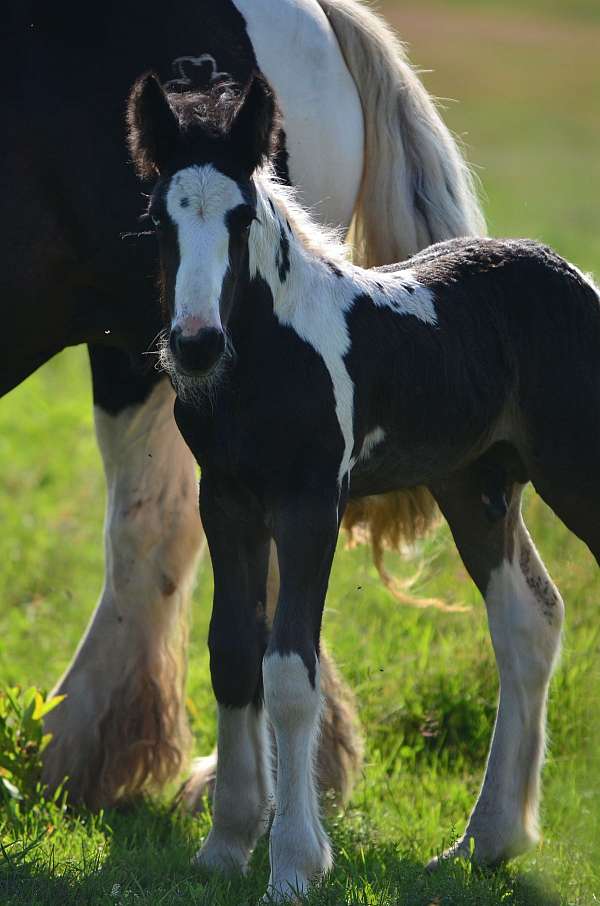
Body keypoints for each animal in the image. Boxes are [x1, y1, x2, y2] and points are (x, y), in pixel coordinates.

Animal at [126, 69, 600, 898]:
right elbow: (231, 653)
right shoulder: (228, 500)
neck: (270, 357)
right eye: (160, 218)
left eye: (240, 215)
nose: (195, 345)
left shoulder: (312, 502)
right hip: (474, 485)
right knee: (528, 621)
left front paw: (292, 864)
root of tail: (576, 277)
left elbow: (289, 669)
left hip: (576, 468)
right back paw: (487, 841)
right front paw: (226, 845)